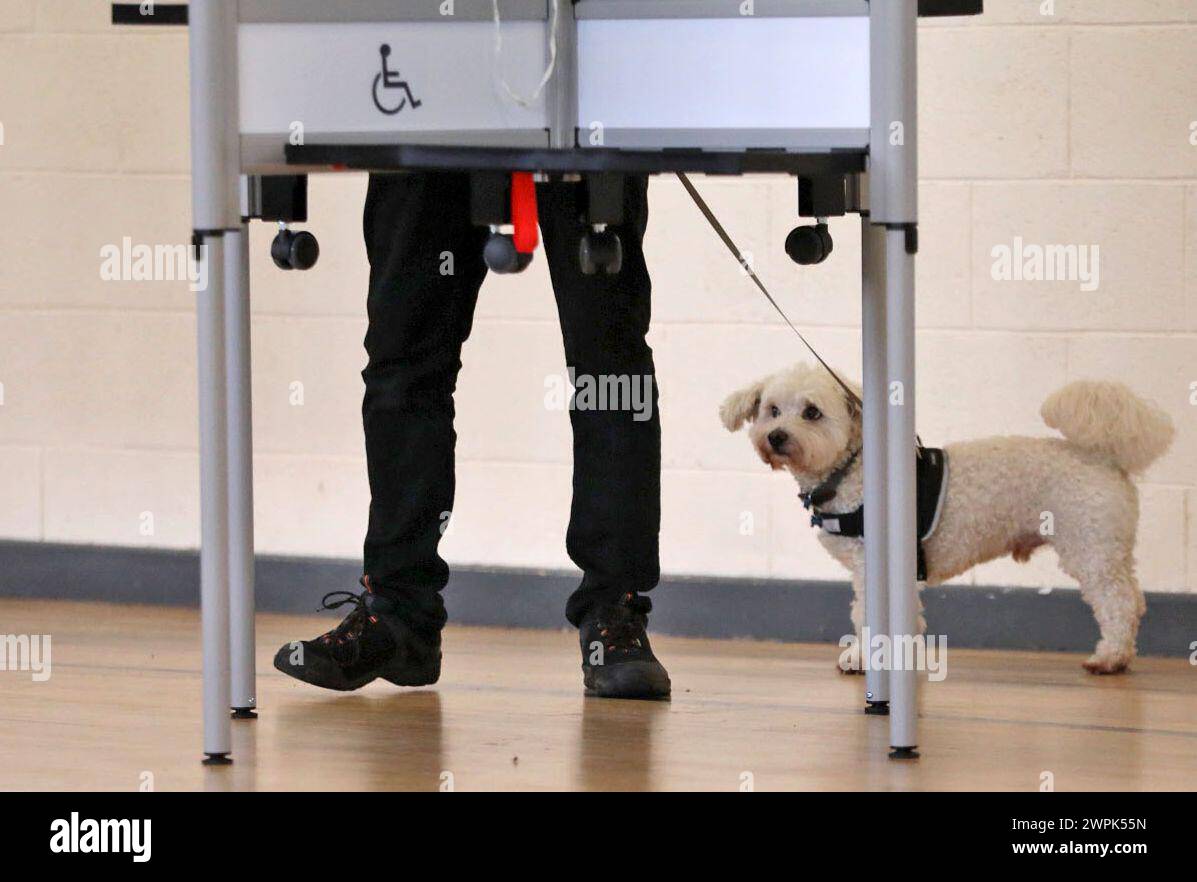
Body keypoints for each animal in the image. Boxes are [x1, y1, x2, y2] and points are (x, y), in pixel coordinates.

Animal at [722, 363, 1173, 674]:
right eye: (772, 409)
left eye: (812, 412)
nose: (776, 436)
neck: (851, 472)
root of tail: (1104, 458)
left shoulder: (872, 564)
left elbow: (867, 616)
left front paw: (864, 658)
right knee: (1133, 599)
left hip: (1091, 547)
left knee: (1119, 602)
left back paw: (1109, 658)